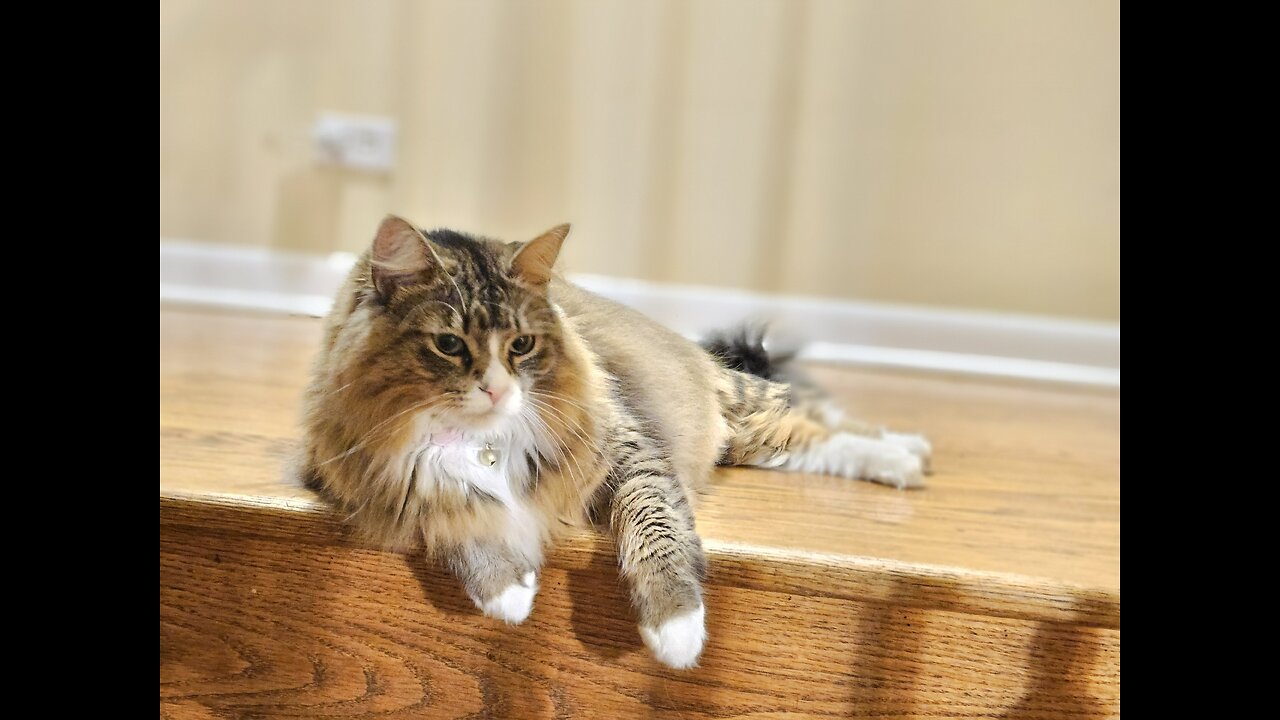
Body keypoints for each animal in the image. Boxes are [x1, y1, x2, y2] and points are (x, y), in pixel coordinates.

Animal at [304, 213, 936, 666]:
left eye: (522, 346)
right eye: (450, 345)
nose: (498, 391)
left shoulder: (628, 448)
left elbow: (656, 527)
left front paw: (677, 628)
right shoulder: (389, 477)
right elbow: (459, 518)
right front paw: (508, 593)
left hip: (738, 400)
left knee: (812, 415)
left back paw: (907, 451)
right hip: (750, 439)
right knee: (799, 436)